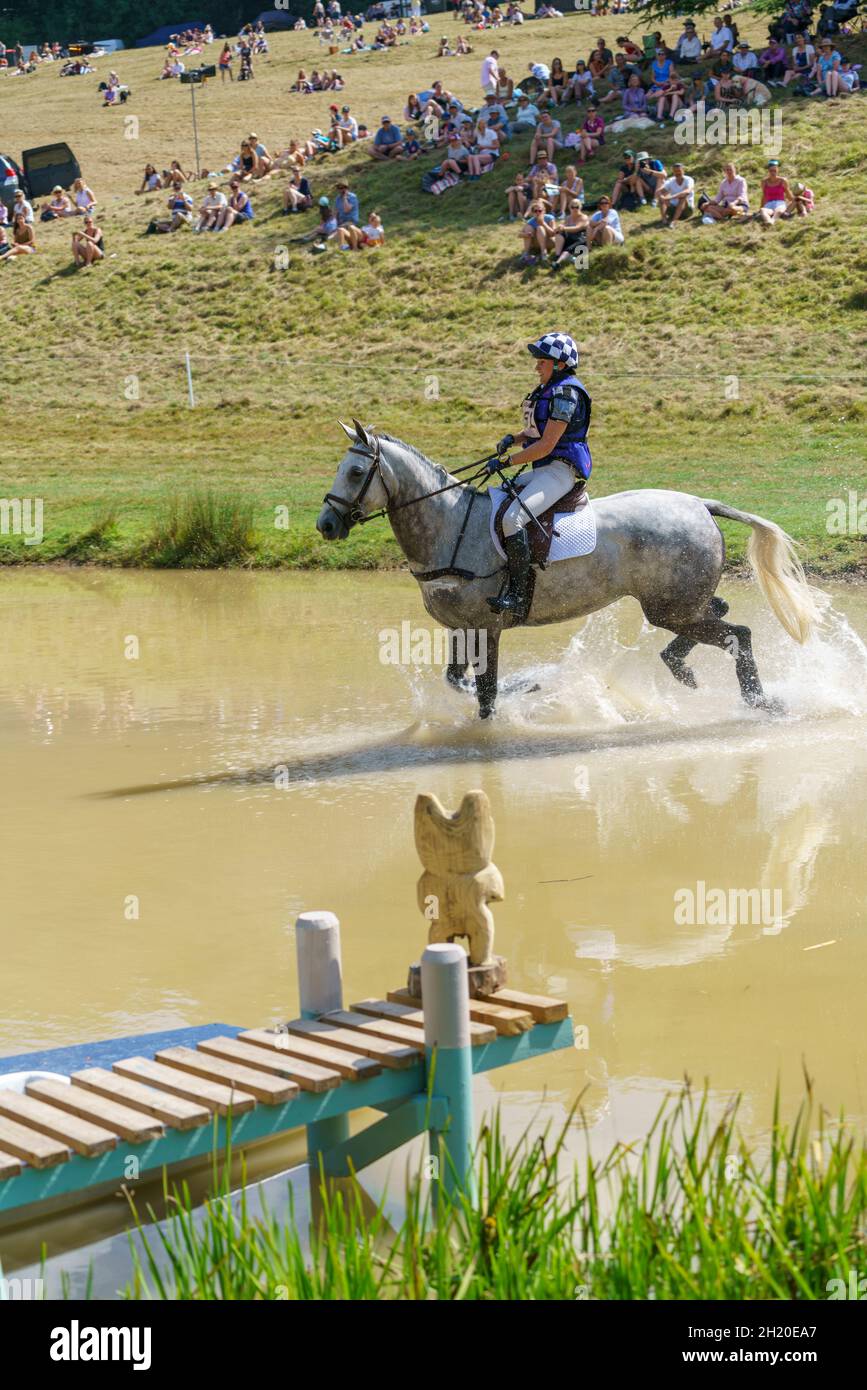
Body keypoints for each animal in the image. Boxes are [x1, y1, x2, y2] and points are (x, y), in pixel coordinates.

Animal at [316, 419, 816, 728]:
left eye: (356, 471)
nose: (326, 525)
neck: (448, 525)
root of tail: (699, 504)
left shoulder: (486, 627)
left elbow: (486, 693)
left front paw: (513, 702)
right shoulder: (461, 628)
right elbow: (458, 681)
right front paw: (529, 684)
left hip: (670, 606)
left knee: (739, 634)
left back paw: (760, 701)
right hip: (677, 602)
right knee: (718, 612)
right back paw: (682, 667)